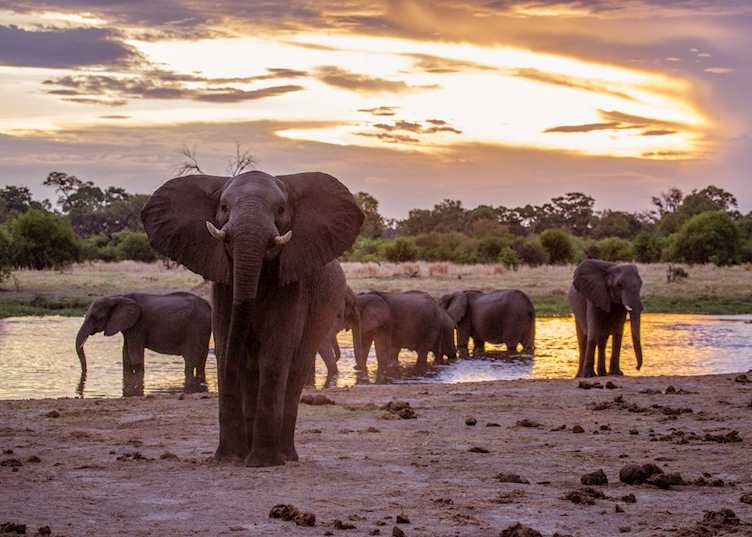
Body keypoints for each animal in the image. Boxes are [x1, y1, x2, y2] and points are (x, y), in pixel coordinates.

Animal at [75, 292, 211, 394]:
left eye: (96, 317)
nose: (84, 376)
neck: (119, 297)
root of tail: (208, 307)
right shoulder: (129, 326)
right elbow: (126, 356)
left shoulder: (139, 325)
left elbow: (135, 357)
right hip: (203, 330)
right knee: (201, 361)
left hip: (195, 329)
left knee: (190, 361)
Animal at [142, 170, 362, 466]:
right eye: (224, 207)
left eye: (280, 210)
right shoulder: (222, 282)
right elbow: (226, 344)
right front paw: (228, 459)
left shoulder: (292, 282)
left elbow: (275, 353)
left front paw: (263, 462)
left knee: (296, 367)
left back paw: (285, 456)